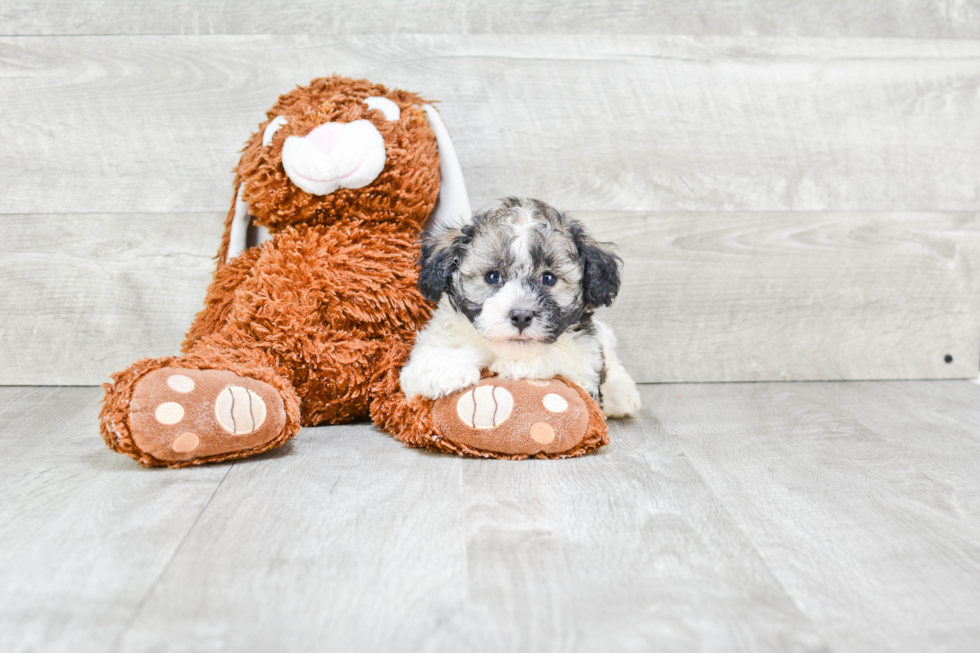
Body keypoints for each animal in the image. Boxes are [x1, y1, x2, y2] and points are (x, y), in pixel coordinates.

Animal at [398, 195, 644, 418]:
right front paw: (444, 368)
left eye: (548, 279)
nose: (521, 317)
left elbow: (561, 359)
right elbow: (425, 363)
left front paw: (517, 365)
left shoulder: (586, 363)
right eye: (493, 276)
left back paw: (622, 394)